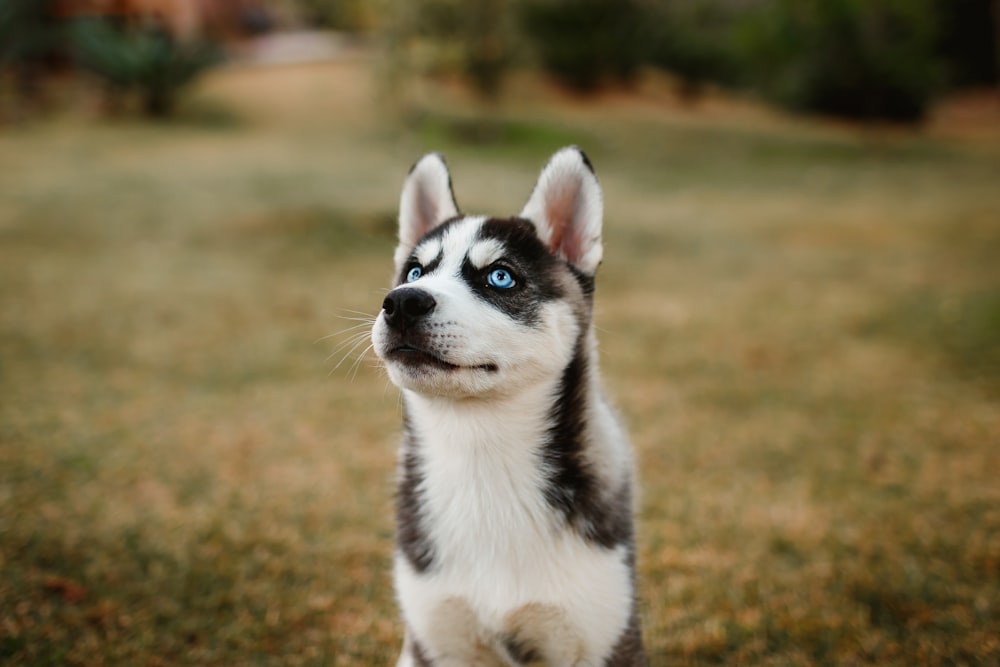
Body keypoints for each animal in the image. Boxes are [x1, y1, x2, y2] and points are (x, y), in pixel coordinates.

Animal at [372, 149, 644, 664]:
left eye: (500, 277)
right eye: (415, 272)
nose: (401, 303)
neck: (480, 457)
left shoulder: (602, 637)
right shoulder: (436, 635)